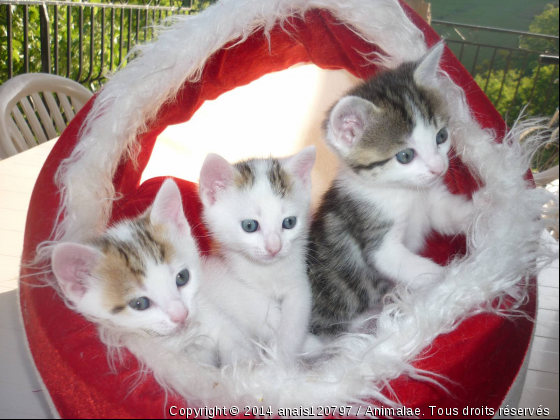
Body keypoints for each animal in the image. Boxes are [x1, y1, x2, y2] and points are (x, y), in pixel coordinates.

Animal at [199, 147, 318, 358]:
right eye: (249, 225)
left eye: (289, 222)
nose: (274, 247)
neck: (266, 271)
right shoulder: (239, 282)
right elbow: (263, 313)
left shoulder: (298, 283)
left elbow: (294, 322)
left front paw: (282, 358)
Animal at [308, 43, 474, 334]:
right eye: (405, 156)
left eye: (441, 136)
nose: (439, 168)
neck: (406, 193)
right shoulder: (376, 239)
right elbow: (417, 268)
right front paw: (450, 282)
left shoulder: (433, 202)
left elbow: (450, 214)